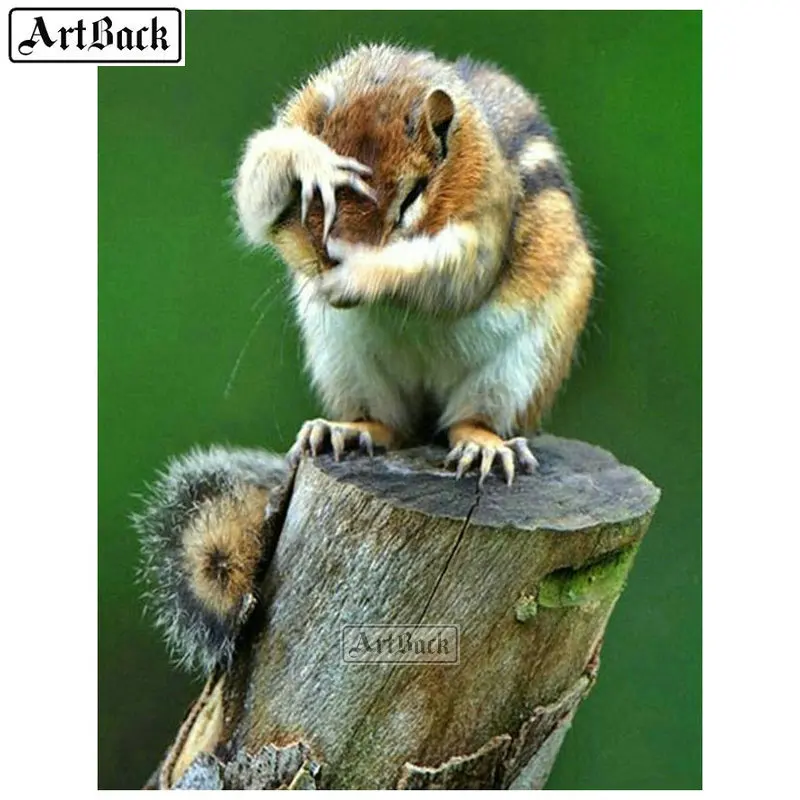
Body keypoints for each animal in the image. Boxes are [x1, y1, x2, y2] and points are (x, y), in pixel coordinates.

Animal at [137, 44, 595, 674]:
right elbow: (255, 189)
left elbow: (453, 272)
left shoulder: (485, 217)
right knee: (388, 424)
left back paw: (482, 444)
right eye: (310, 201)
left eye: (411, 198)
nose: (335, 254)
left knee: (468, 420)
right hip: (344, 360)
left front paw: (365, 271)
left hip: (520, 368)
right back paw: (345, 431)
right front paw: (308, 157)